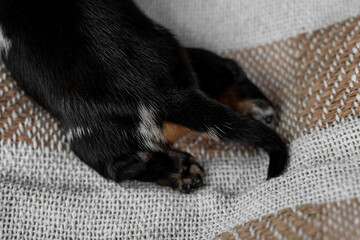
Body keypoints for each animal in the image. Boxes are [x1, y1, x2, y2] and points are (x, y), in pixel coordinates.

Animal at [0, 0, 286, 193]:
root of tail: (167, 95)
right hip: (182, 53)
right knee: (228, 68)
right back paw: (254, 107)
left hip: (88, 140)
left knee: (125, 167)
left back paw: (182, 172)